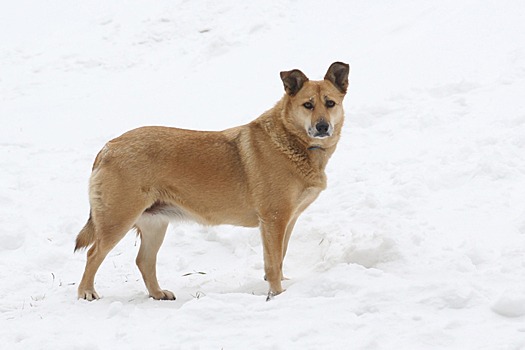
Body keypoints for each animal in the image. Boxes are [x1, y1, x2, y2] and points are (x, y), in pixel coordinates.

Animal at [74, 60, 348, 300]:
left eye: (330, 103)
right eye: (308, 105)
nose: (322, 127)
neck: (293, 142)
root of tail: (109, 147)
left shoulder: (287, 220)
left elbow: (279, 259)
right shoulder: (274, 220)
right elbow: (272, 264)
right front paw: (277, 294)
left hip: (155, 223)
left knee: (143, 261)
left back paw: (157, 294)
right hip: (117, 219)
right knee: (93, 254)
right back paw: (86, 292)